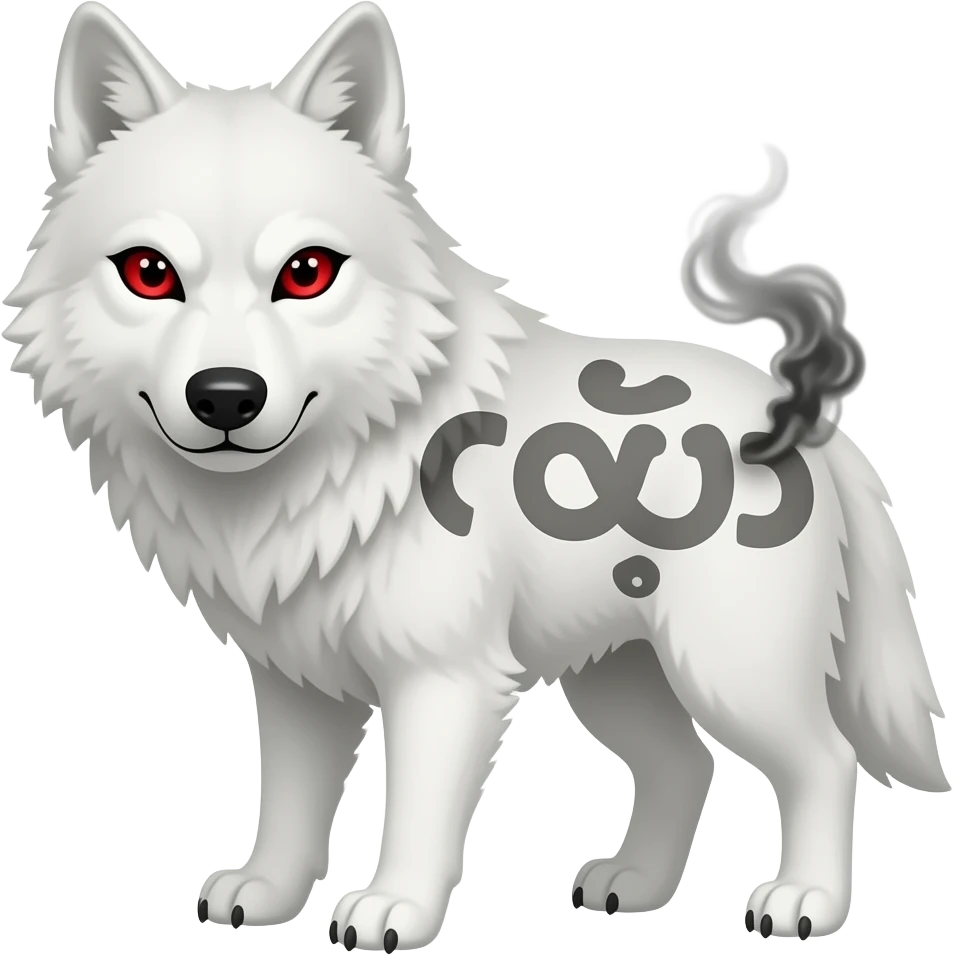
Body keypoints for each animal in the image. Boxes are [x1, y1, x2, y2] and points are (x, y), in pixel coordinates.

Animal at [4, 1, 947, 949]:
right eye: (149, 272)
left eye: (305, 273)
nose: (226, 396)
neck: (354, 461)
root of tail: (800, 417)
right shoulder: (296, 684)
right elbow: (290, 807)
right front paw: (266, 895)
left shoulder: (441, 679)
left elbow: (414, 812)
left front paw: (392, 909)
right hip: (617, 678)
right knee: (685, 764)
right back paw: (634, 884)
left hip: (727, 669)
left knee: (824, 759)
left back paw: (805, 900)